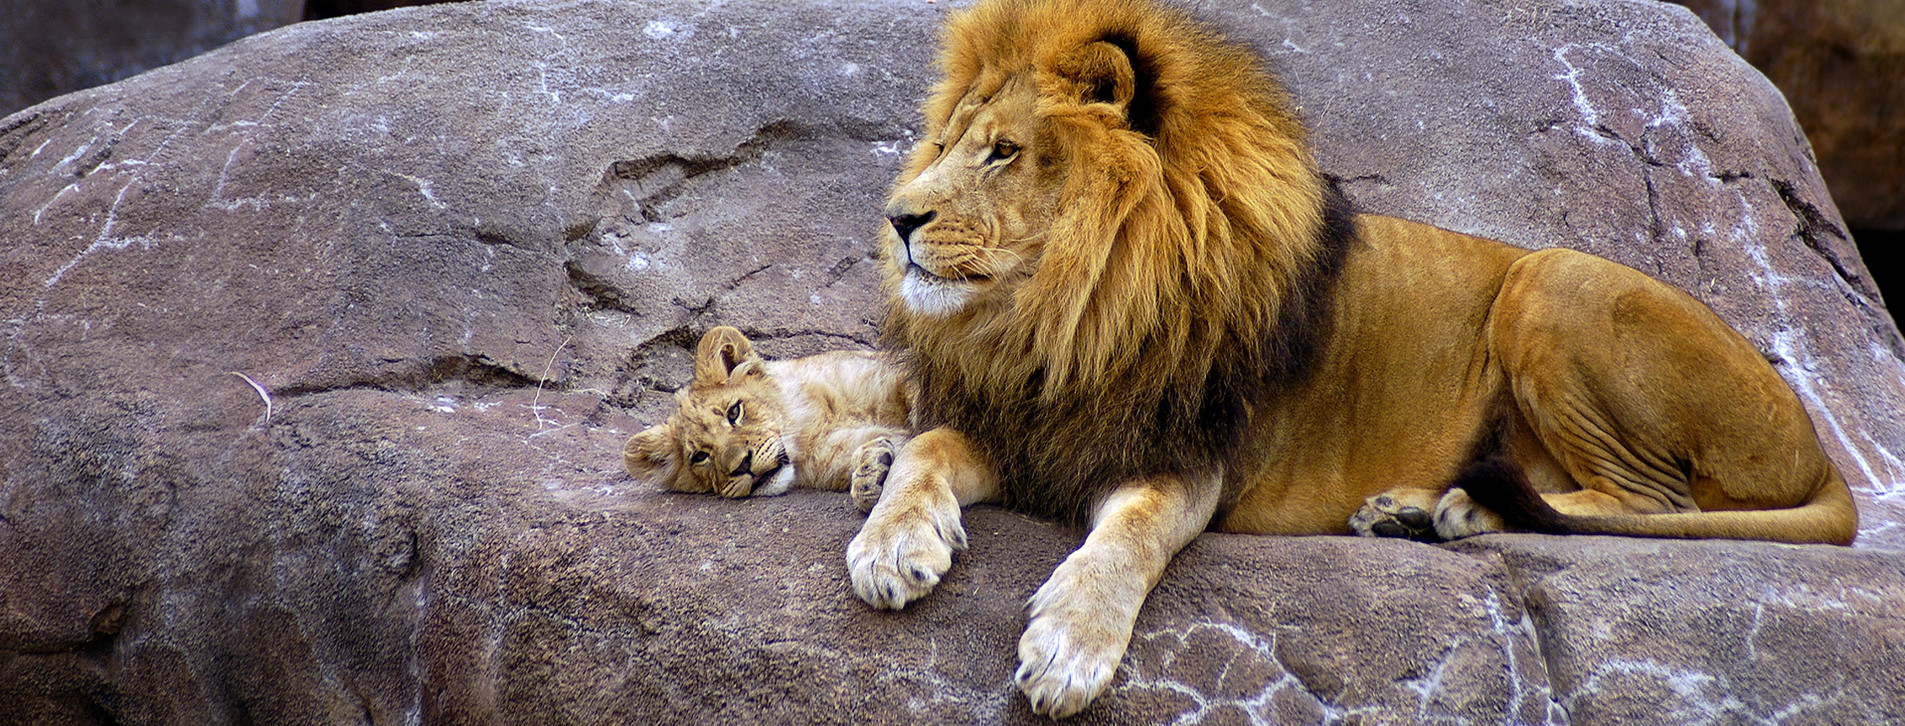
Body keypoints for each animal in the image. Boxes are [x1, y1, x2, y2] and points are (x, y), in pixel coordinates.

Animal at [849, 0, 1859, 716]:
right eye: (944, 145)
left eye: (1003, 152)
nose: (897, 219)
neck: (1059, 317)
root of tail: (1819, 449)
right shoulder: (1024, 423)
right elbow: (928, 449)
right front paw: (891, 539)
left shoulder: (1187, 458)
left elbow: (1128, 536)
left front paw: (1067, 646)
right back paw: (1412, 512)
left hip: (1549, 275)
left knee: (1654, 504)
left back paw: (1457, 509)